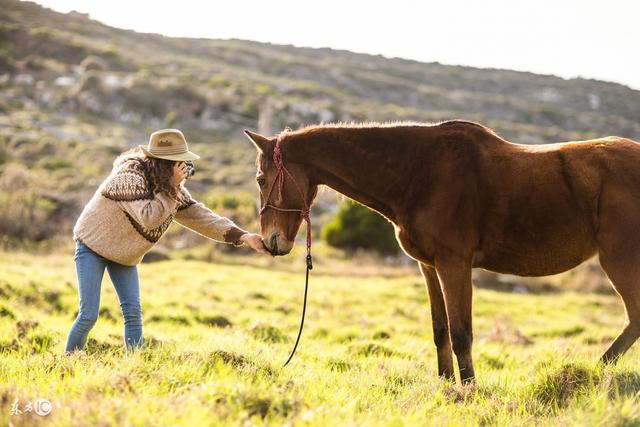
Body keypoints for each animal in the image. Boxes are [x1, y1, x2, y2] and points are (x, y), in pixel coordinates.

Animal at [245, 121, 640, 384]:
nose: (271, 241)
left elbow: (461, 330)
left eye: (261, 179)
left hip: (620, 260)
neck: (418, 173)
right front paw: (447, 384)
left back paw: (595, 370)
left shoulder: (455, 264)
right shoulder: (430, 266)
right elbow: (441, 330)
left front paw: (469, 388)